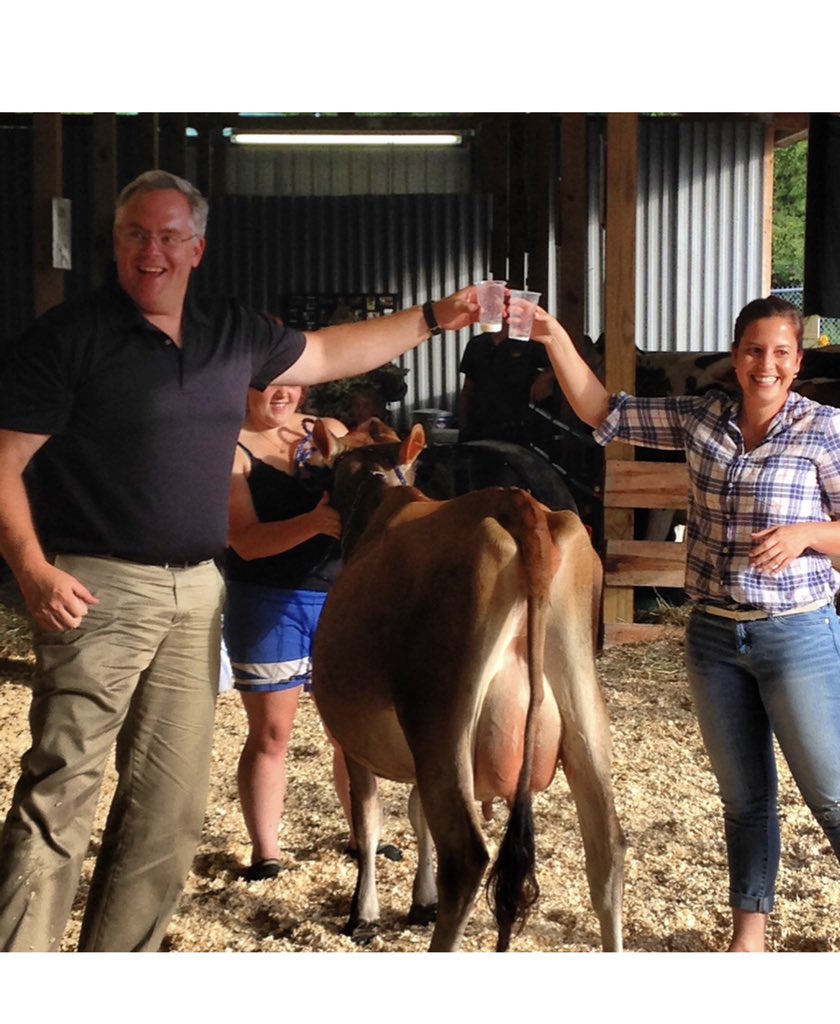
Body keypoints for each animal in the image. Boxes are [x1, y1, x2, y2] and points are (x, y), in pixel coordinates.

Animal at [309, 417, 625, 952]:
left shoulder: (354, 743)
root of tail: (520, 506)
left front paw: (363, 914)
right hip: (581, 698)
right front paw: (420, 901)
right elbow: (416, 814)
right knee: (607, 846)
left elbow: (370, 820)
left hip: (441, 715)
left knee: (467, 856)